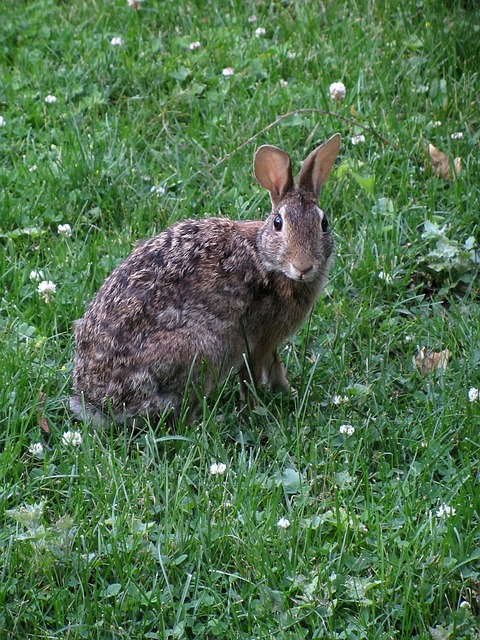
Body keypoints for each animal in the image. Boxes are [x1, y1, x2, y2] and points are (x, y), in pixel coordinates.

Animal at [70, 134, 342, 424]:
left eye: (324, 223)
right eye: (278, 223)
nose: (303, 266)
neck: (265, 257)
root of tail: (99, 405)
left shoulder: (270, 340)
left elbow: (275, 365)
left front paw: (287, 393)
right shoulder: (255, 338)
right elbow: (251, 375)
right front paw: (254, 409)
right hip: (199, 351)